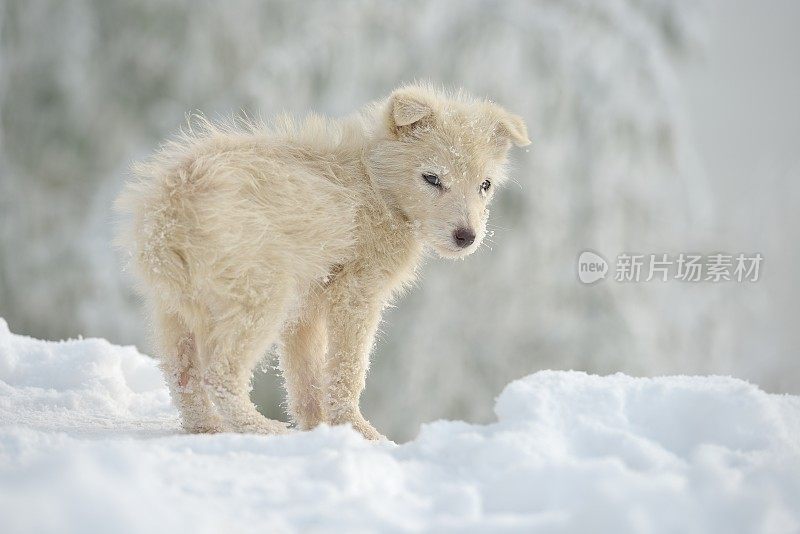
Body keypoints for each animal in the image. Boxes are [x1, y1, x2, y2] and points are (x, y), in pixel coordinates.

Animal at [117, 85, 532, 440]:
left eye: (485, 185)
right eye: (432, 178)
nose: (467, 237)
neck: (374, 183)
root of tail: (171, 208)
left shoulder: (307, 308)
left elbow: (306, 379)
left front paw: (320, 429)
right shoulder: (356, 294)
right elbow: (347, 369)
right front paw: (360, 432)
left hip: (173, 309)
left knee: (181, 374)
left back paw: (207, 428)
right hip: (260, 298)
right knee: (219, 374)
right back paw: (262, 429)